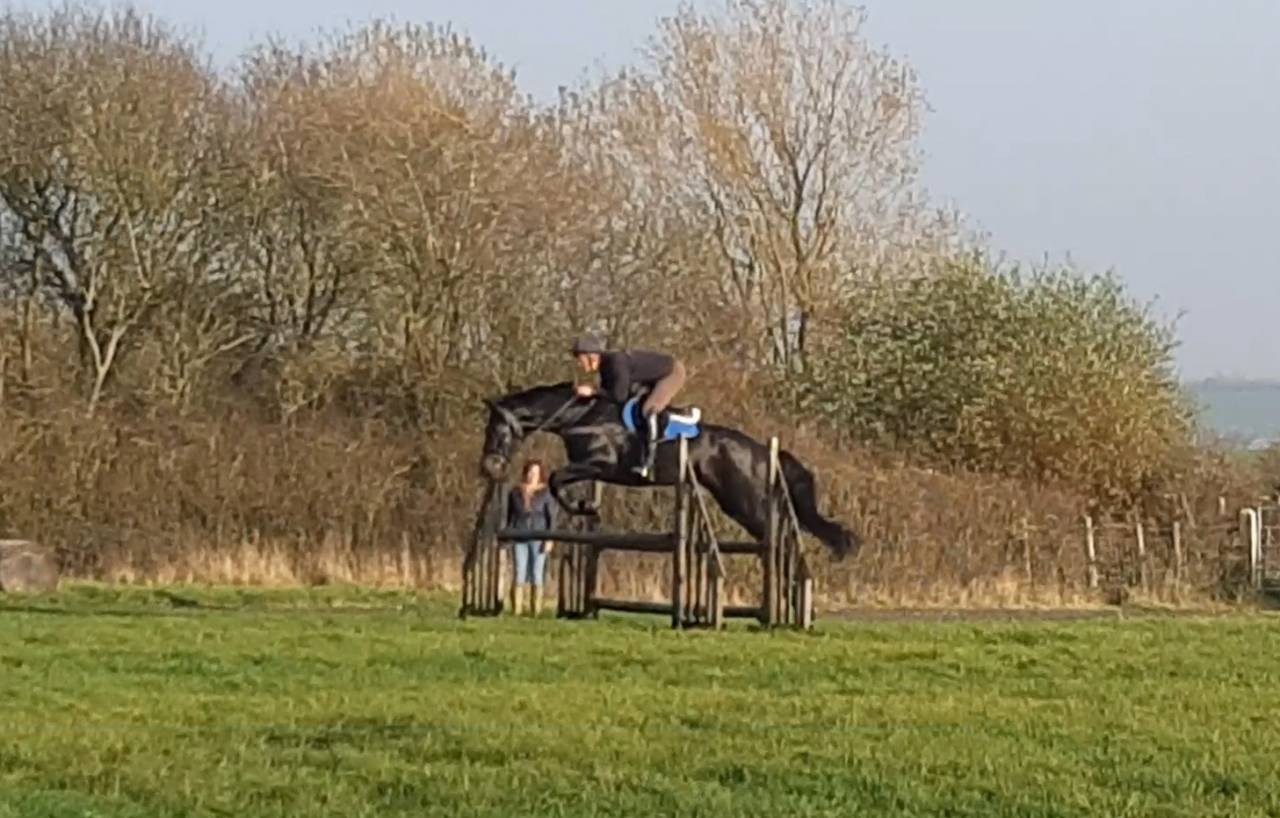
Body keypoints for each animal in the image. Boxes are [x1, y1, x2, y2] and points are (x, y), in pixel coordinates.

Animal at [479, 381, 859, 561]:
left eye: (495, 430)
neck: (581, 416)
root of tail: (763, 451)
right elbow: (561, 480)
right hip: (734, 502)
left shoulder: (600, 464)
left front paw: (583, 507)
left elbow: (557, 479)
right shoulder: (594, 470)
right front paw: (587, 507)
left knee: (776, 528)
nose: (489, 466)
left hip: (745, 499)